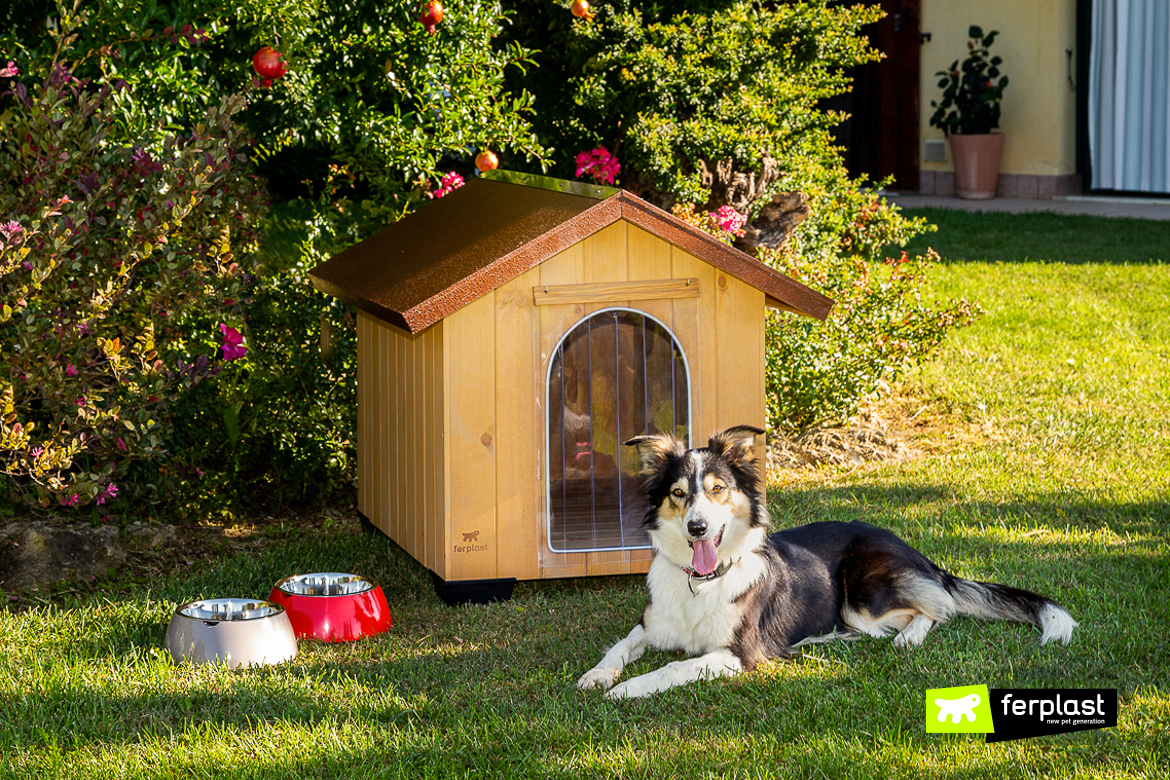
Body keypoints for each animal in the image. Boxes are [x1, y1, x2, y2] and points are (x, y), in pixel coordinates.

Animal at [575, 428, 1076, 701]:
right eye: (678, 493)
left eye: (718, 489)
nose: (697, 528)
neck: (703, 582)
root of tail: (912, 549)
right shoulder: (651, 626)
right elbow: (620, 646)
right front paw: (598, 675)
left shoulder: (738, 654)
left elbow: (673, 668)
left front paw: (627, 689)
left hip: (863, 596)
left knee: (938, 608)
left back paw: (907, 637)